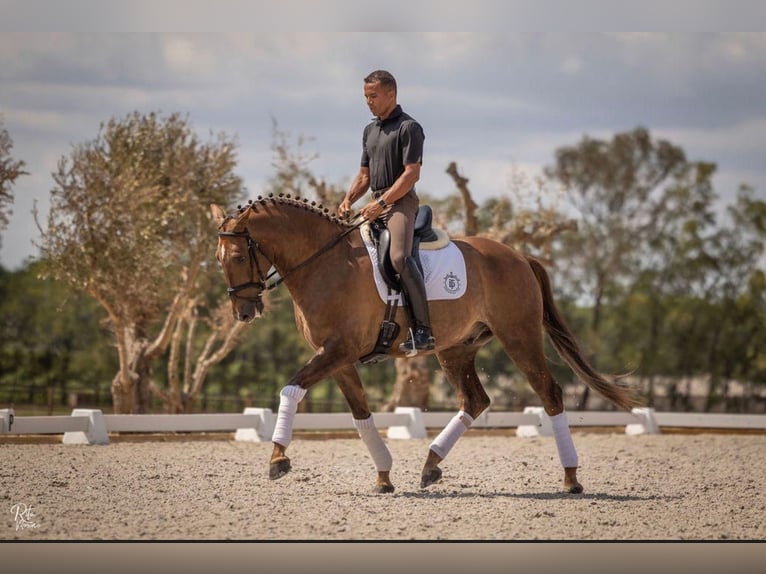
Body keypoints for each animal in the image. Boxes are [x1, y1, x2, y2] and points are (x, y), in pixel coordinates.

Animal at [212, 197, 640, 496]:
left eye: (238, 256)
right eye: (219, 259)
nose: (244, 311)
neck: (326, 264)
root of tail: (519, 256)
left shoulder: (337, 351)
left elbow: (291, 389)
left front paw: (278, 458)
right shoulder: (339, 358)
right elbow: (360, 413)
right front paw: (384, 476)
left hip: (518, 336)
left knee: (549, 393)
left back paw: (571, 479)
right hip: (456, 348)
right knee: (475, 400)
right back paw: (431, 465)